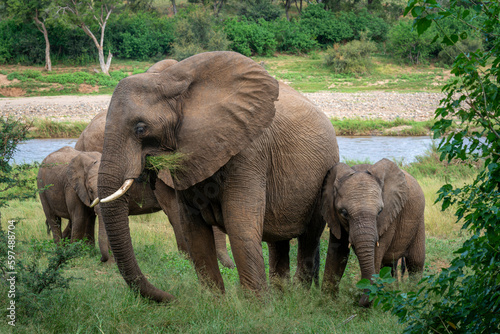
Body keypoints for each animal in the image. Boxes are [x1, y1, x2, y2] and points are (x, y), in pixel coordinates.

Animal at [320, 158, 426, 306]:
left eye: (380, 211)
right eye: (344, 213)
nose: (358, 301)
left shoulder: (389, 216)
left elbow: (376, 253)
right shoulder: (334, 216)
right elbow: (337, 252)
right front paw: (327, 303)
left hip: (419, 219)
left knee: (415, 262)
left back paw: (415, 296)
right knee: (389, 265)